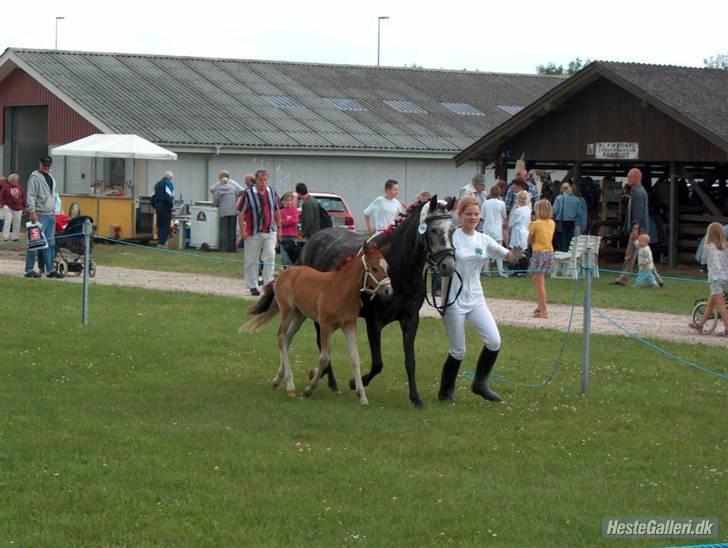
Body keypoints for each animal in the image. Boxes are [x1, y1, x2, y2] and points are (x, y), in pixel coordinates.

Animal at [243, 242, 392, 404]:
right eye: (374, 268)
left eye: (387, 267)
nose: (388, 290)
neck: (341, 290)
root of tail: (286, 272)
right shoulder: (325, 326)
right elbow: (324, 359)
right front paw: (309, 389)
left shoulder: (350, 325)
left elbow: (354, 358)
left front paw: (362, 396)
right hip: (287, 311)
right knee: (281, 337)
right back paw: (290, 385)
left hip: (299, 315)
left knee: (287, 339)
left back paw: (278, 379)